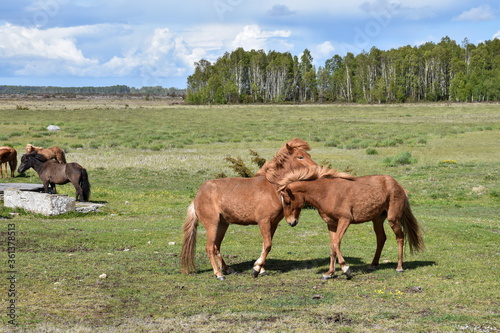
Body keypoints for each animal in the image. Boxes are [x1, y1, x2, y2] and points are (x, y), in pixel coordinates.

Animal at [182, 137, 318, 280]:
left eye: (309, 155)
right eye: (300, 157)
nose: (316, 169)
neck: (272, 188)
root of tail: (197, 197)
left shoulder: (273, 223)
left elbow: (265, 246)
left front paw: (261, 269)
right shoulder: (263, 222)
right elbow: (268, 245)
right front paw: (256, 269)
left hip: (222, 224)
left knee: (216, 247)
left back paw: (228, 269)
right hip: (212, 224)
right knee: (209, 248)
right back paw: (219, 274)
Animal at [280, 166, 424, 278]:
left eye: (287, 202)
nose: (291, 223)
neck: (327, 193)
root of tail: (399, 186)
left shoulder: (345, 220)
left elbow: (336, 243)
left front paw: (346, 269)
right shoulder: (331, 224)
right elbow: (332, 246)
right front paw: (329, 273)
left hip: (393, 219)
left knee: (400, 237)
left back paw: (399, 267)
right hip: (377, 220)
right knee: (381, 238)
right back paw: (373, 264)